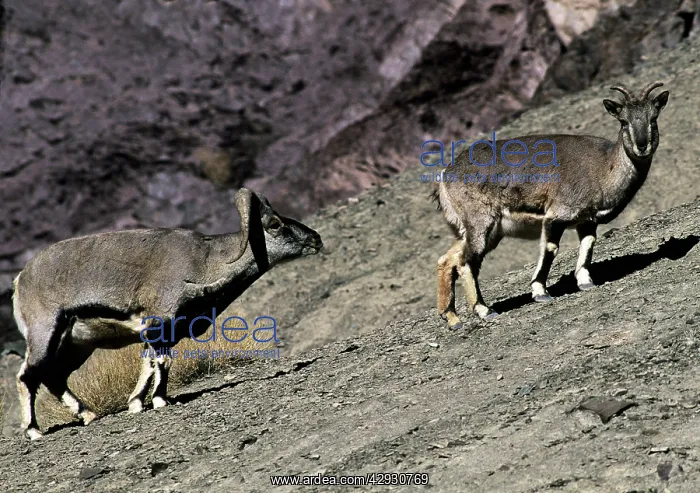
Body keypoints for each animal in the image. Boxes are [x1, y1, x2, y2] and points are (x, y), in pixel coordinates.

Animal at [13, 188, 323, 439]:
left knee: (53, 377)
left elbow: (149, 364)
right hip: (46, 335)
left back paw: (88, 415)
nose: (316, 239)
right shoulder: (159, 325)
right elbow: (162, 363)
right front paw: (161, 401)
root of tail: (20, 280)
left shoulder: (159, 333)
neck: (204, 264)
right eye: (275, 224)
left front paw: (137, 404)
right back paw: (34, 431)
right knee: (28, 376)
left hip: (76, 346)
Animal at [432, 81, 669, 327]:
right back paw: (483, 310)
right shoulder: (557, 215)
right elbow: (550, 249)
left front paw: (586, 282)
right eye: (623, 121)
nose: (642, 146)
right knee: (466, 261)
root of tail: (445, 176)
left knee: (448, 259)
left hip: (483, 231)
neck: (603, 168)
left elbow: (588, 244)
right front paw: (540, 292)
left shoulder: (587, 220)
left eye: (653, 117)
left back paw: (452, 318)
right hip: (481, 223)